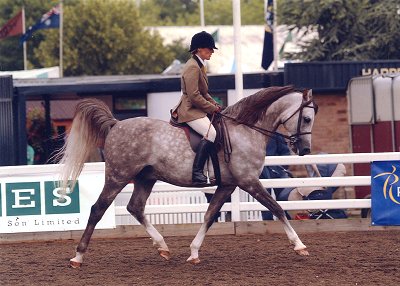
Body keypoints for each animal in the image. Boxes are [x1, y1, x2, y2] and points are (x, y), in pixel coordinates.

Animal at [57, 85, 318, 268]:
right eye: (306, 119)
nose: (305, 150)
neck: (246, 130)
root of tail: (116, 125)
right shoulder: (248, 182)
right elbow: (277, 208)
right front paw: (300, 245)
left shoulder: (228, 185)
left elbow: (210, 216)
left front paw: (193, 253)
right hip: (118, 176)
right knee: (98, 209)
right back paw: (78, 257)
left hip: (145, 177)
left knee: (135, 207)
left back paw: (162, 247)